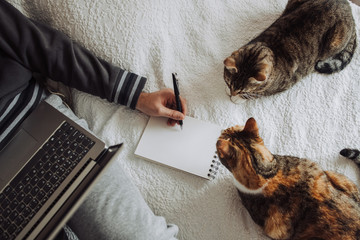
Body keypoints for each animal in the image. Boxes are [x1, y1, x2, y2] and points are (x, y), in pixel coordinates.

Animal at [224, 0, 356, 99]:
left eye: (242, 91)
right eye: (229, 84)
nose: (232, 94)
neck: (270, 48)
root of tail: (348, 7)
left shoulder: (279, 87)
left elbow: (257, 94)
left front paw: (237, 98)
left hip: (335, 42)